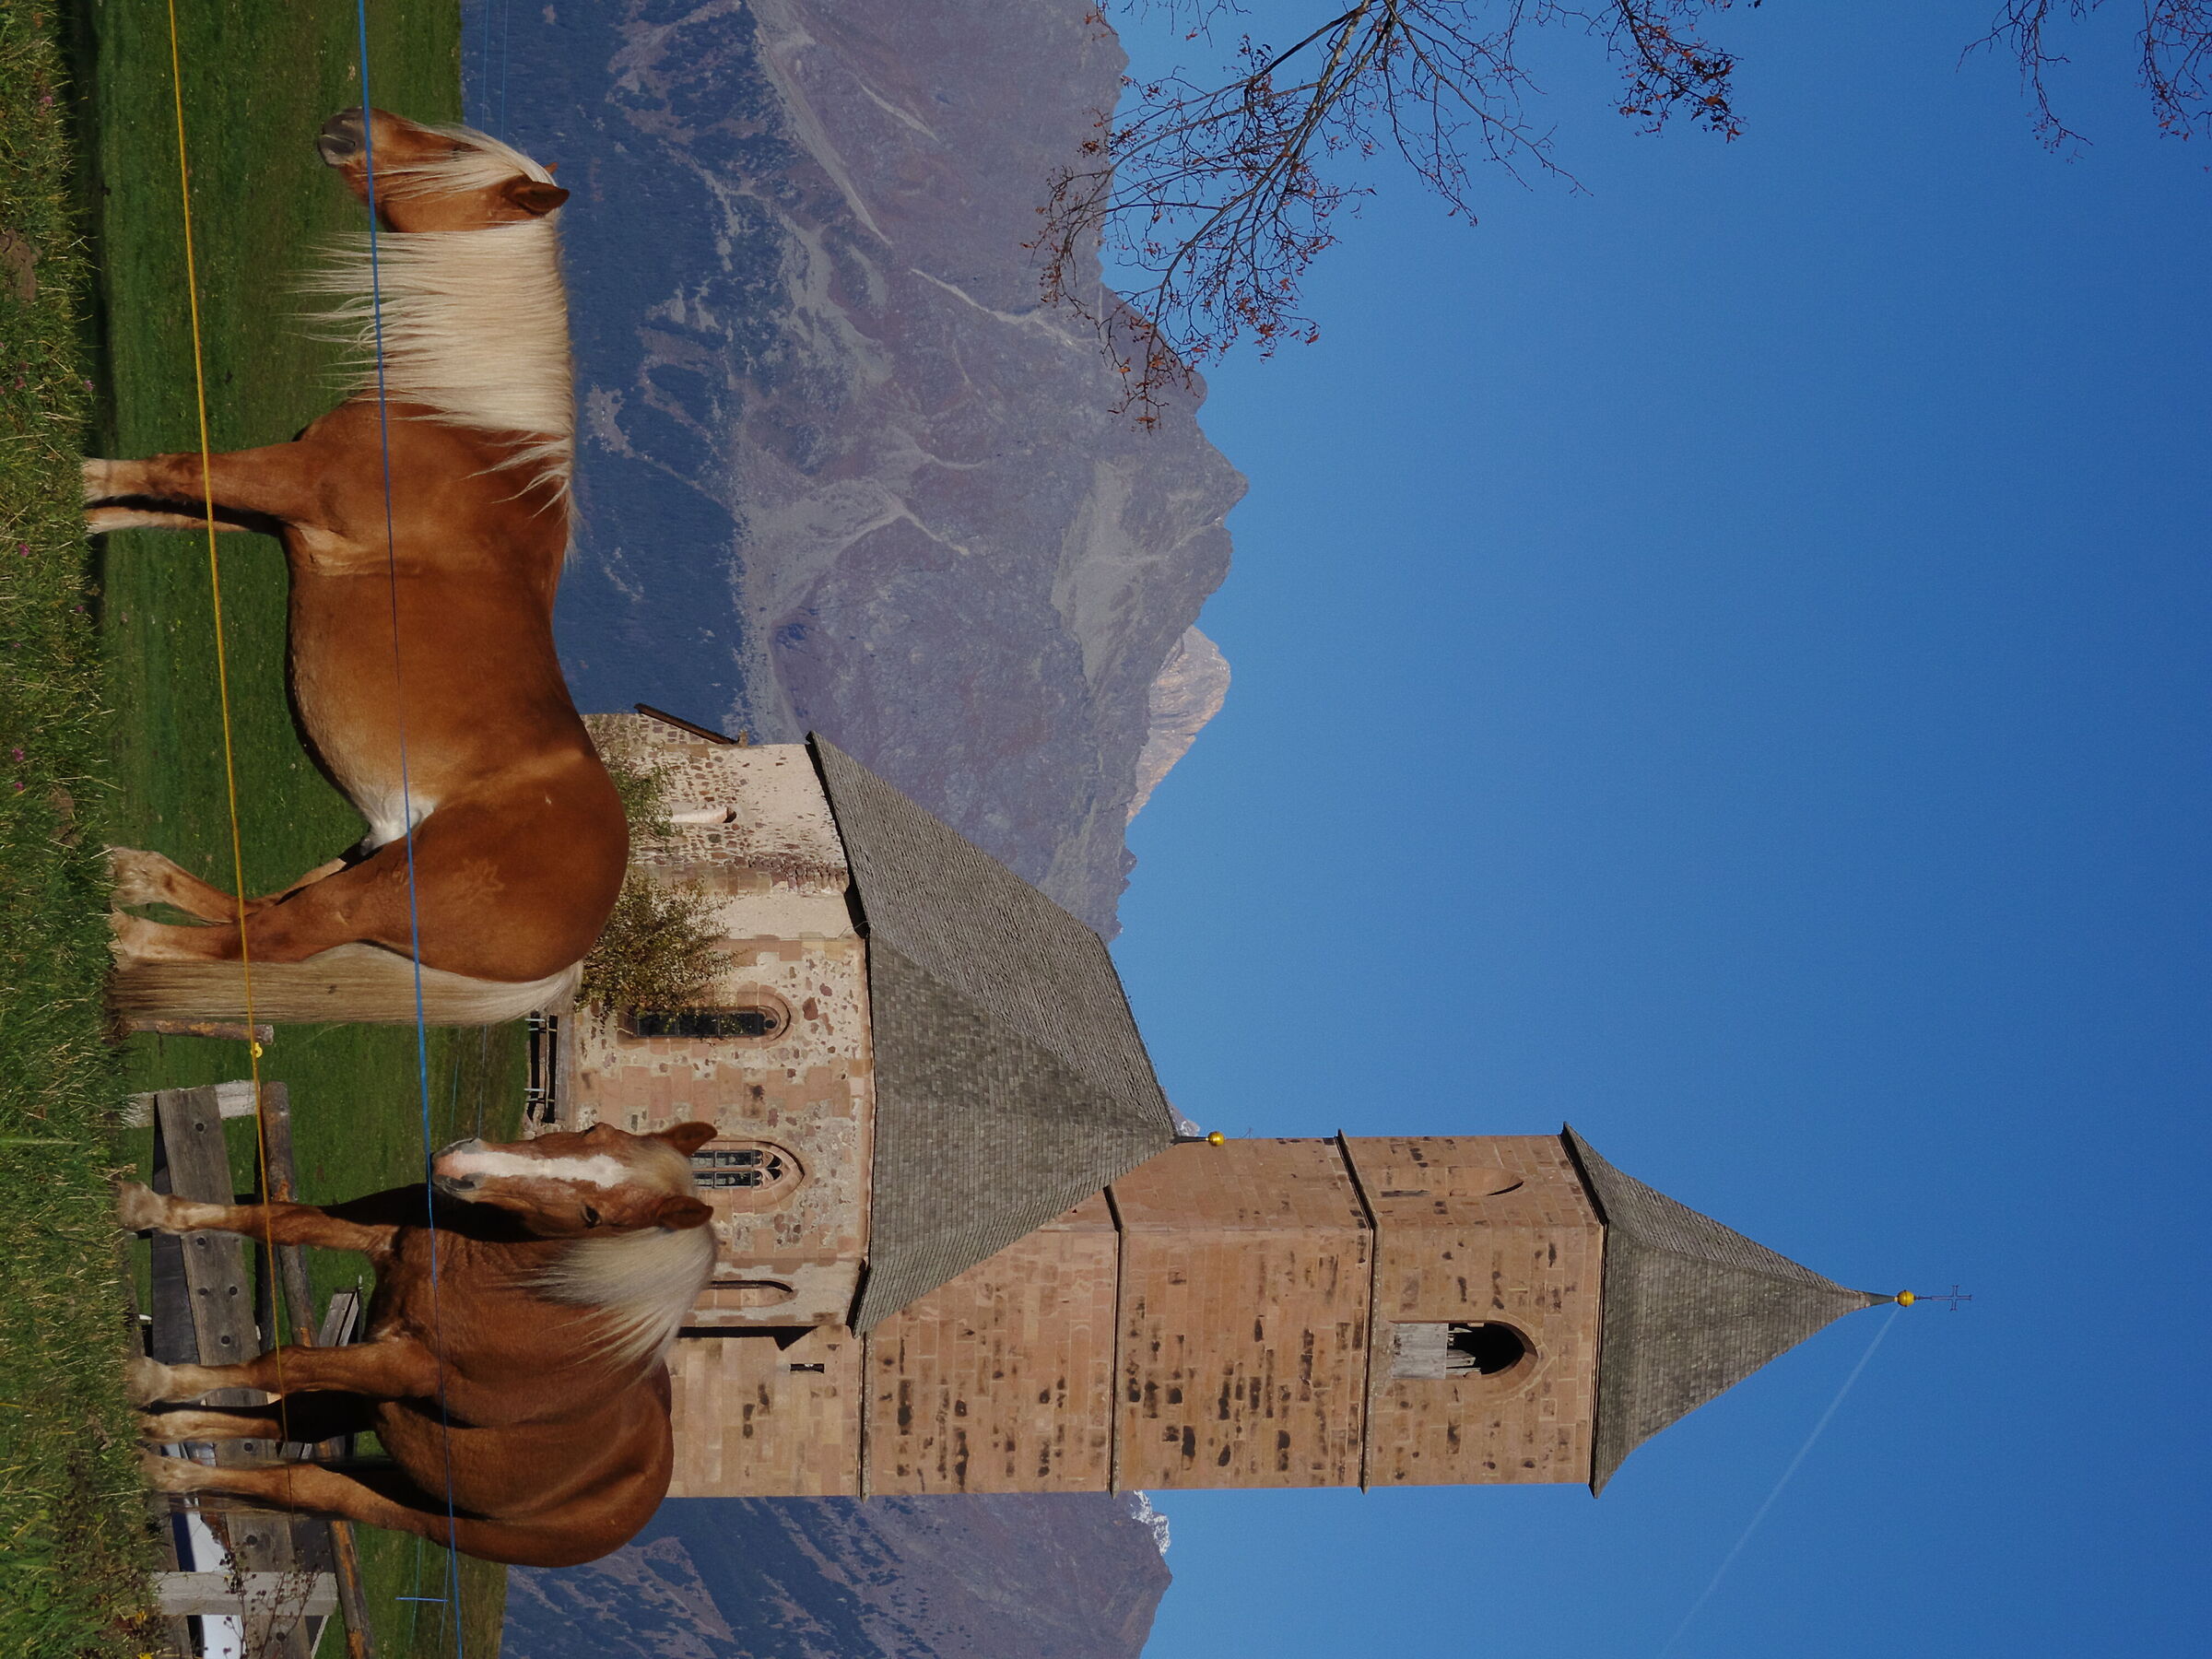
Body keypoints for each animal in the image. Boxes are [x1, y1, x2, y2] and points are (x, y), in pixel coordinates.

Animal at [89, 107, 625, 1024]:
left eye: (450, 155)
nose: (347, 124)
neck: (462, 426)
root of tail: (573, 956)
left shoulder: (293, 485)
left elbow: (176, 468)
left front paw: (66, 483)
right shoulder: (280, 515)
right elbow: (173, 500)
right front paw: (85, 510)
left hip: (376, 895)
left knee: (269, 941)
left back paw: (128, 933)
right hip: (366, 855)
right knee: (261, 912)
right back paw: (138, 874)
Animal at [121, 1120, 720, 1568]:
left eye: (593, 1217)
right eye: (597, 1129)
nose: (458, 1167)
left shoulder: (402, 1365)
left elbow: (278, 1364)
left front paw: (148, 1377)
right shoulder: (383, 1239)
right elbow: (275, 1221)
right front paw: (144, 1208)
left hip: (410, 1501)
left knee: (306, 1482)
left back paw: (164, 1470)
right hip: (379, 1417)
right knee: (290, 1424)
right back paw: (159, 1434)